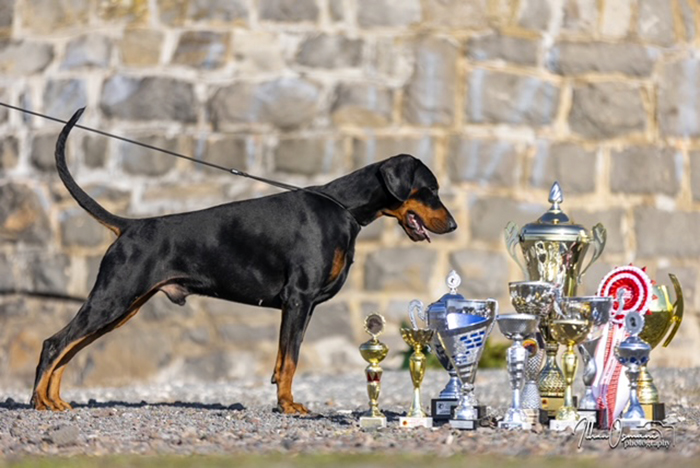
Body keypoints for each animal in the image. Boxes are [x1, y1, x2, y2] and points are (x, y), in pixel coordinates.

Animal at [31, 108, 457, 414]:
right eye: (431, 189)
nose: (452, 225)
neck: (343, 208)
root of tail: (130, 226)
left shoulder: (301, 306)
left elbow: (282, 359)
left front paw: (282, 401)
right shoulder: (298, 299)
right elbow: (291, 359)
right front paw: (288, 406)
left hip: (123, 307)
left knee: (69, 349)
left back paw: (54, 400)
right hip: (113, 298)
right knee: (55, 344)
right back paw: (39, 401)